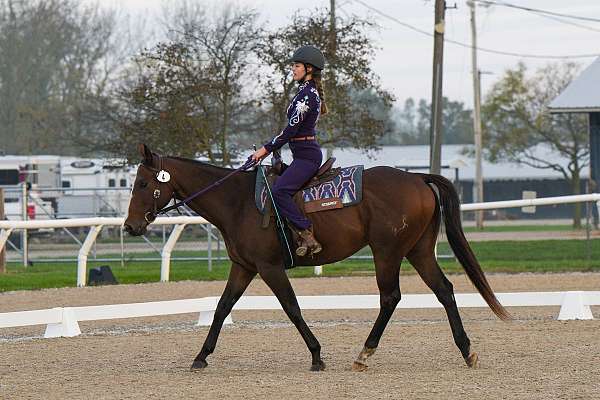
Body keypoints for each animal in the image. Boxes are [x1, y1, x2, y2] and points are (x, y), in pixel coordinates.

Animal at [124, 144, 508, 372]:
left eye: (142, 184)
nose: (130, 226)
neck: (238, 202)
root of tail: (417, 179)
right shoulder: (244, 267)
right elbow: (221, 308)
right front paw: (201, 356)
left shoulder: (269, 268)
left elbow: (292, 308)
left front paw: (317, 355)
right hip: (418, 250)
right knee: (444, 290)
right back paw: (466, 350)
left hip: (387, 252)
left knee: (390, 297)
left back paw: (364, 353)